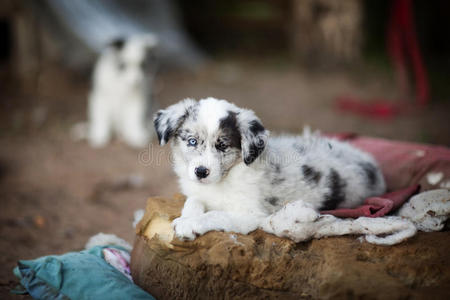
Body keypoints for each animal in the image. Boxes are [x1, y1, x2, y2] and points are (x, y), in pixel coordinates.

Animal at [155, 97, 386, 240]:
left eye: (222, 145)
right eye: (192, 141)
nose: (201, 172)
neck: (224, 179)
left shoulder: (251, 214)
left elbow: (216, 215)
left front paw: (190, 225)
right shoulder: (199, 192)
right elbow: (192, 201)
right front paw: (187, 217)